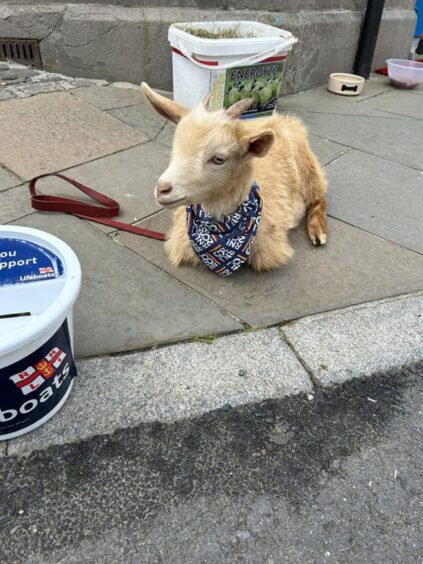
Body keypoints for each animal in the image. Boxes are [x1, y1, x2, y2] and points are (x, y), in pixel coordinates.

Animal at [142, 83, 328, 276]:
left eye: (219, 159)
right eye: (175, 147)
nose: (162, 189)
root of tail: (280, 119)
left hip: (308, 167)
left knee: (318, 196)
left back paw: (318, 232)